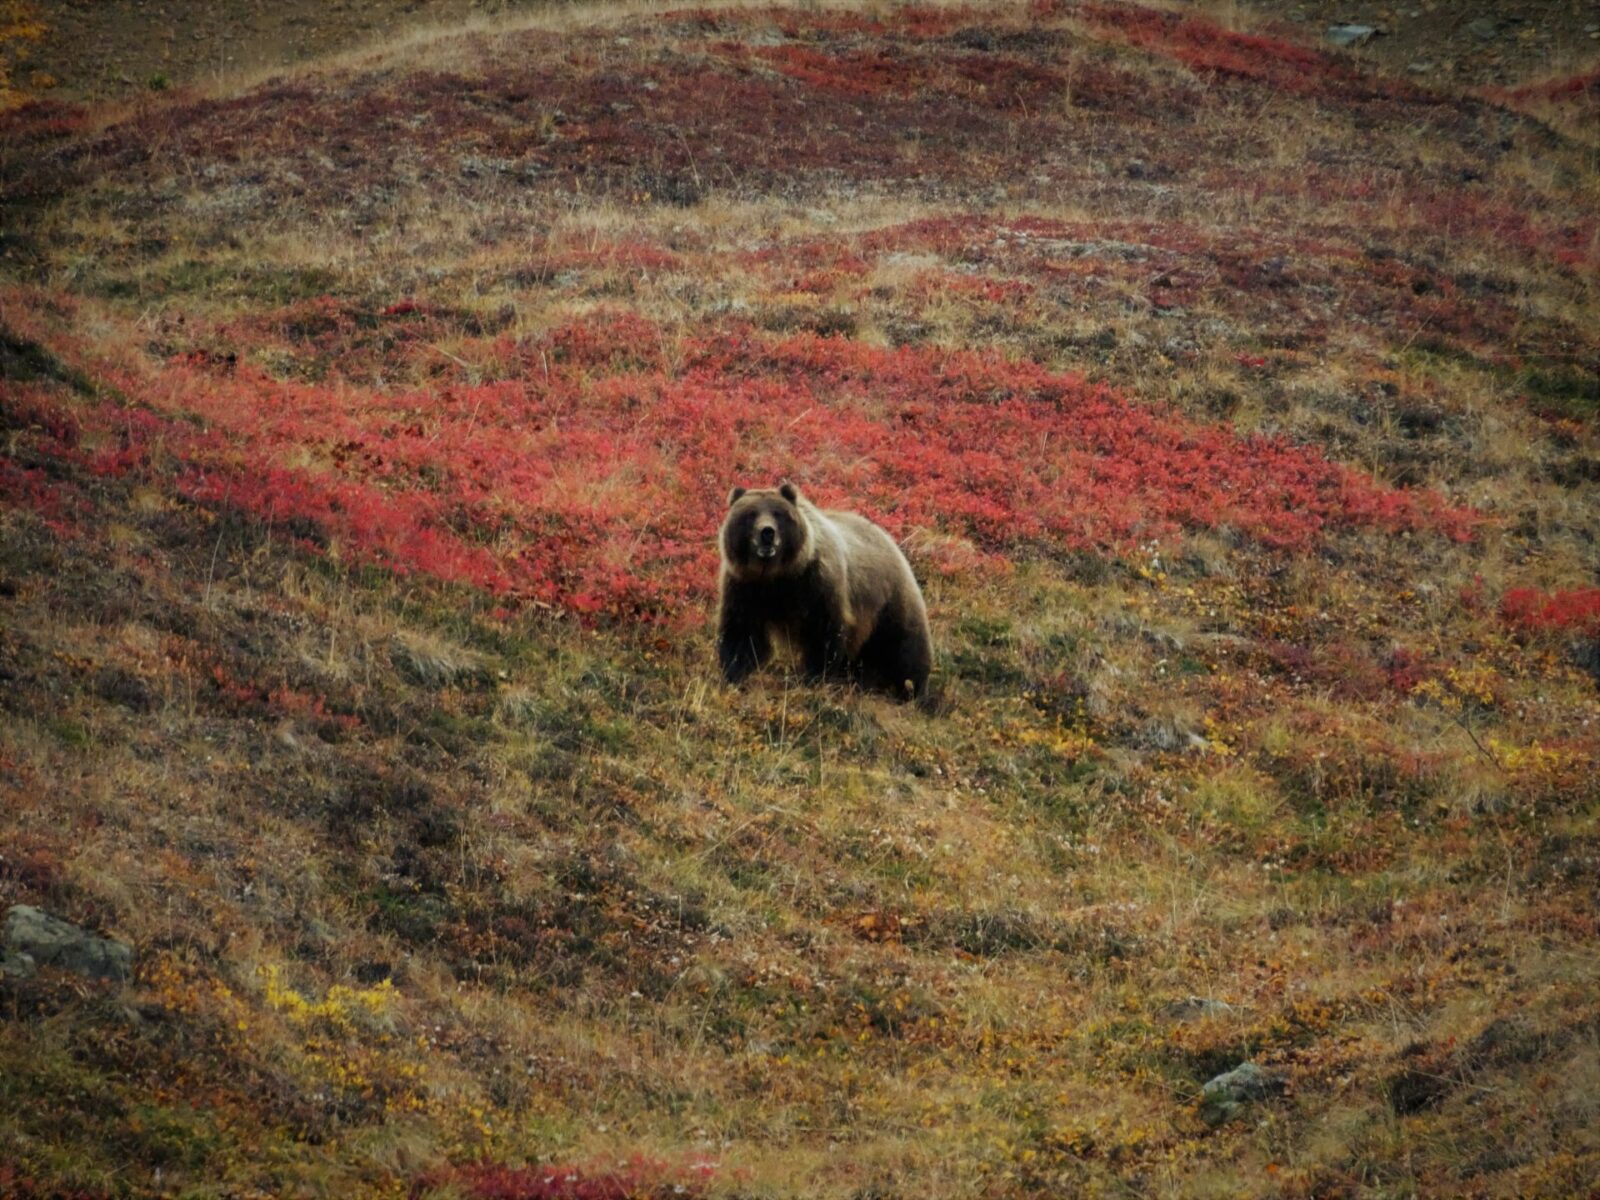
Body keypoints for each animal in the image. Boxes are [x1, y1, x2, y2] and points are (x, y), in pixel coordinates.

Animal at [720, 483, 934, 700]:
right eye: (751, 514)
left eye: (778, 513)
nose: (767, 533)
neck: (778, 574)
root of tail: (891, 540)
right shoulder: (745, 586)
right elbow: (742, 633)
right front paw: (734, 675)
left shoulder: (817, 583)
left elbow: (823, 632)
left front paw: (814, 678)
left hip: (890, 599)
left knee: (906, 648)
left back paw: (914, 691)